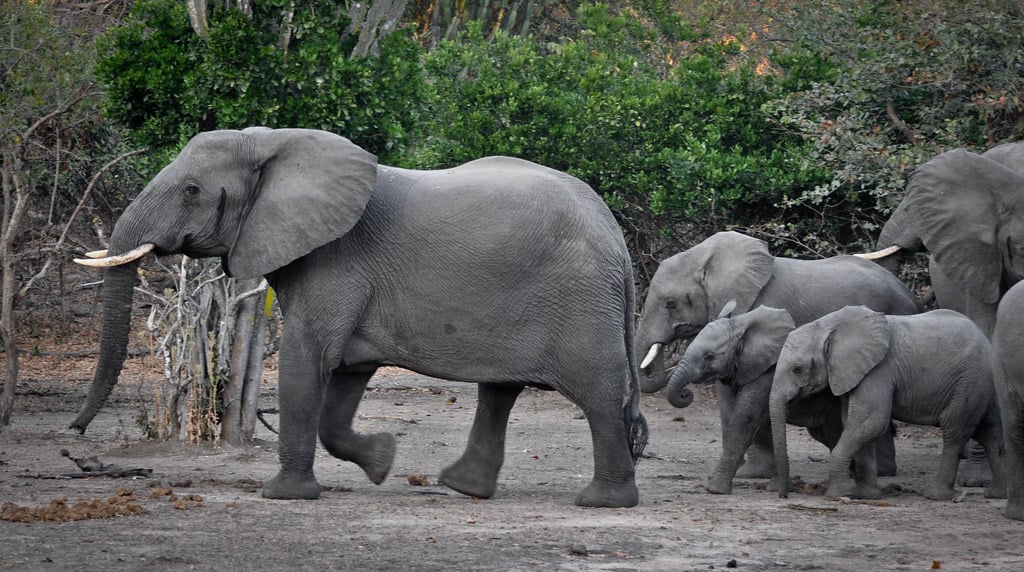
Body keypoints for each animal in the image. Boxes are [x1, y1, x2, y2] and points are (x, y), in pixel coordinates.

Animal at [70, 127, 649, 508]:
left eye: (192, 190)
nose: (74, 431)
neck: (275, 141)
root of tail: (616, 238)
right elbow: (346, 376)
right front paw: (383, 461)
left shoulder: (336, 261)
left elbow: (307, 360)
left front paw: (283, 496)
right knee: (500, 390)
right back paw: (463, 487)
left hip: (580, 302)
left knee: (597, 395)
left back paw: (602, 502)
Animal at [665, 302, 853, 495]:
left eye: (709, 356)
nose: (685, 394)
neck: (742, 325)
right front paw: (776, 486)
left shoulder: (770, 371)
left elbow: (745, 418)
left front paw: (714, 489)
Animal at [770, 306, 1006, 501]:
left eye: (797, 369)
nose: (784, 495)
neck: (829, 326)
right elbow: (854, 422)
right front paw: (867, 495)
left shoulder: (878, 370)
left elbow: (870, 422)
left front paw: (839, 494)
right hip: (980, 383)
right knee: (988, 431)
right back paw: (995, 493)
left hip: (969, 380)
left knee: (955, 430)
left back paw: (936, 495)